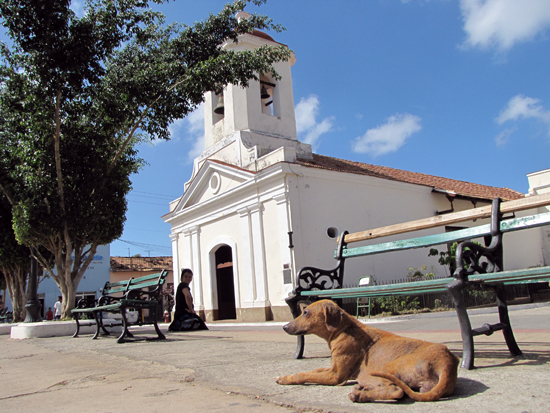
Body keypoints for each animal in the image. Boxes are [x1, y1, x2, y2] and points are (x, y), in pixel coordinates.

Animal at [276, 300, 462, 402]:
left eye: (305, 312)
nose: (284, 327)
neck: (344, 329)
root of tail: (447, 362)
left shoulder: (336, 375)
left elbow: (305, 374)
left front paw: (285, 378)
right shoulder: (333, 369)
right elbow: (314, 369)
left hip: (380, 371)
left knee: (397, 391)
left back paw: (360, 396)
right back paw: (361, 391)